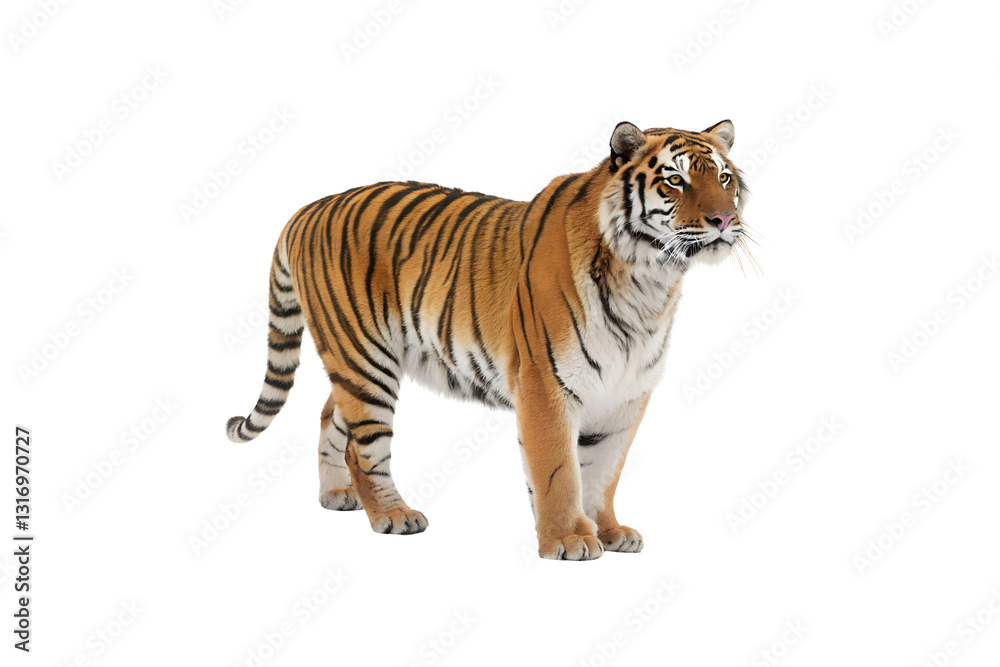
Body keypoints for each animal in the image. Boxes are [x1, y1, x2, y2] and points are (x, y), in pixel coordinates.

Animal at [226, 119, 750, 560]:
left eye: (724, 179)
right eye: (675, 181)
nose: (725, 220)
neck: (651, 283)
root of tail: (309, 207)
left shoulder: (627, 393)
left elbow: (603, 472)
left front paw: (609, 531)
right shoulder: (545, 384)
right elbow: (559, 470)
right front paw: (567, 540)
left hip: (359, 362)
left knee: (330, 416)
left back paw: (336, 496)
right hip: (364, 358)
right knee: (363, 444)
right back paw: (393, 515)